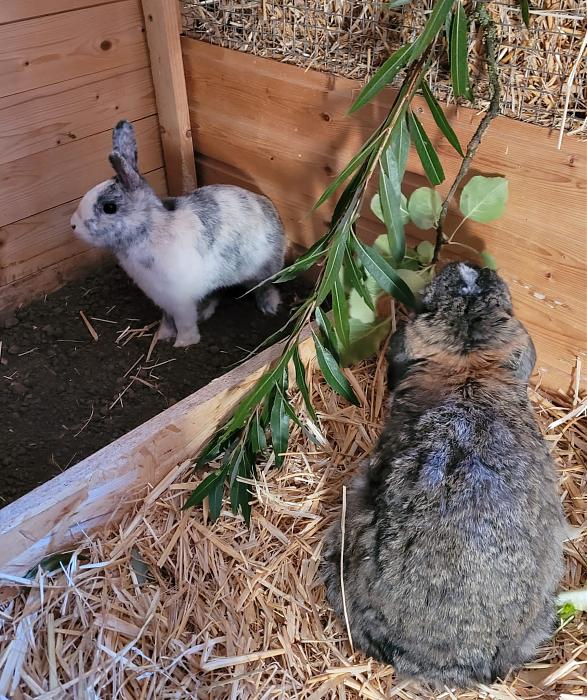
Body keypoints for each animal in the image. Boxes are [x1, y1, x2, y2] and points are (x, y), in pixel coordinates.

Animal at [70, 120, 286, 347]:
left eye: (109, 207)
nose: (73, 225)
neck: (150, 228)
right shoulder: (163, 299)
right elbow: (168, 319)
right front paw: (163, 335)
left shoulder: (180, 300)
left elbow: (184, 322)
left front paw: (184, 343)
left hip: (263, 269)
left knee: (265, 286)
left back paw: (269, 306)